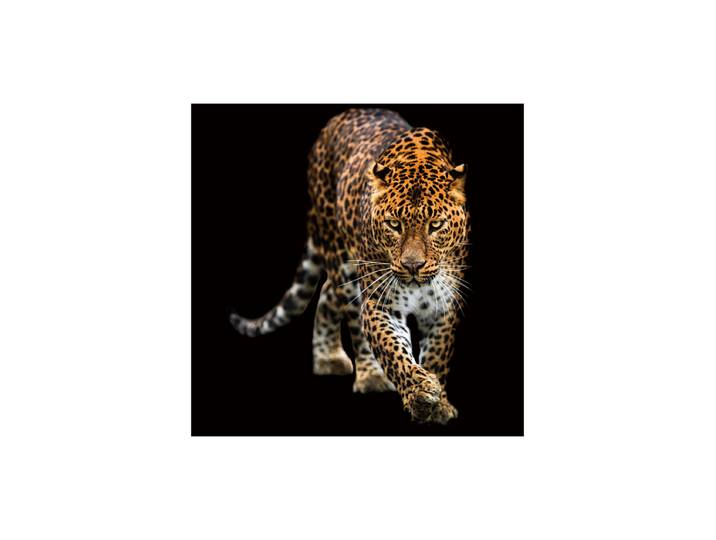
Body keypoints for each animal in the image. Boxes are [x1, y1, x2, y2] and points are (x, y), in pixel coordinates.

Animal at [230, 108, 470, 424]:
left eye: (436, 225)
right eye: (394, 224)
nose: (413, 266)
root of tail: (344, 114)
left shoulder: (444, 306)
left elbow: (438, 355)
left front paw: (438, 404)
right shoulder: (381, 303)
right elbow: (393, 350)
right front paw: (419, 391)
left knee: (328, 291)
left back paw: (327, 358)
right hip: (343, 259)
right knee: (350, 313)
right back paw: (369, 376)